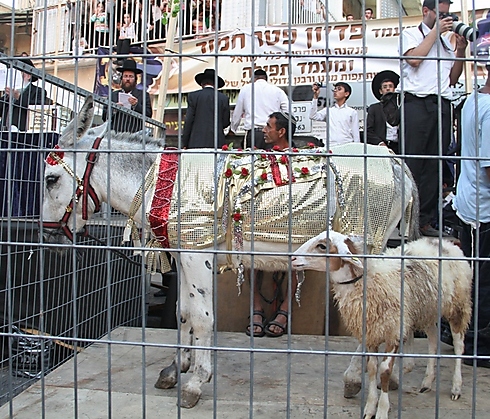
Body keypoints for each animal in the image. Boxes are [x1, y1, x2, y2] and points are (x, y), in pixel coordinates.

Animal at [290, 231, 470, 419]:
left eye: (322, 246)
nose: (293, 258)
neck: (367, 280)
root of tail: (448, 244)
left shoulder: (393, 332)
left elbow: (384, 371)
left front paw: (382, 409)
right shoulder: (371, 333)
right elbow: (372, 368)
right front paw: (370, 408)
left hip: (458, 305)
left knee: (459, 345)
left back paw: (456, 387)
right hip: (427, 308)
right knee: (434, 338)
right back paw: (427, 381)